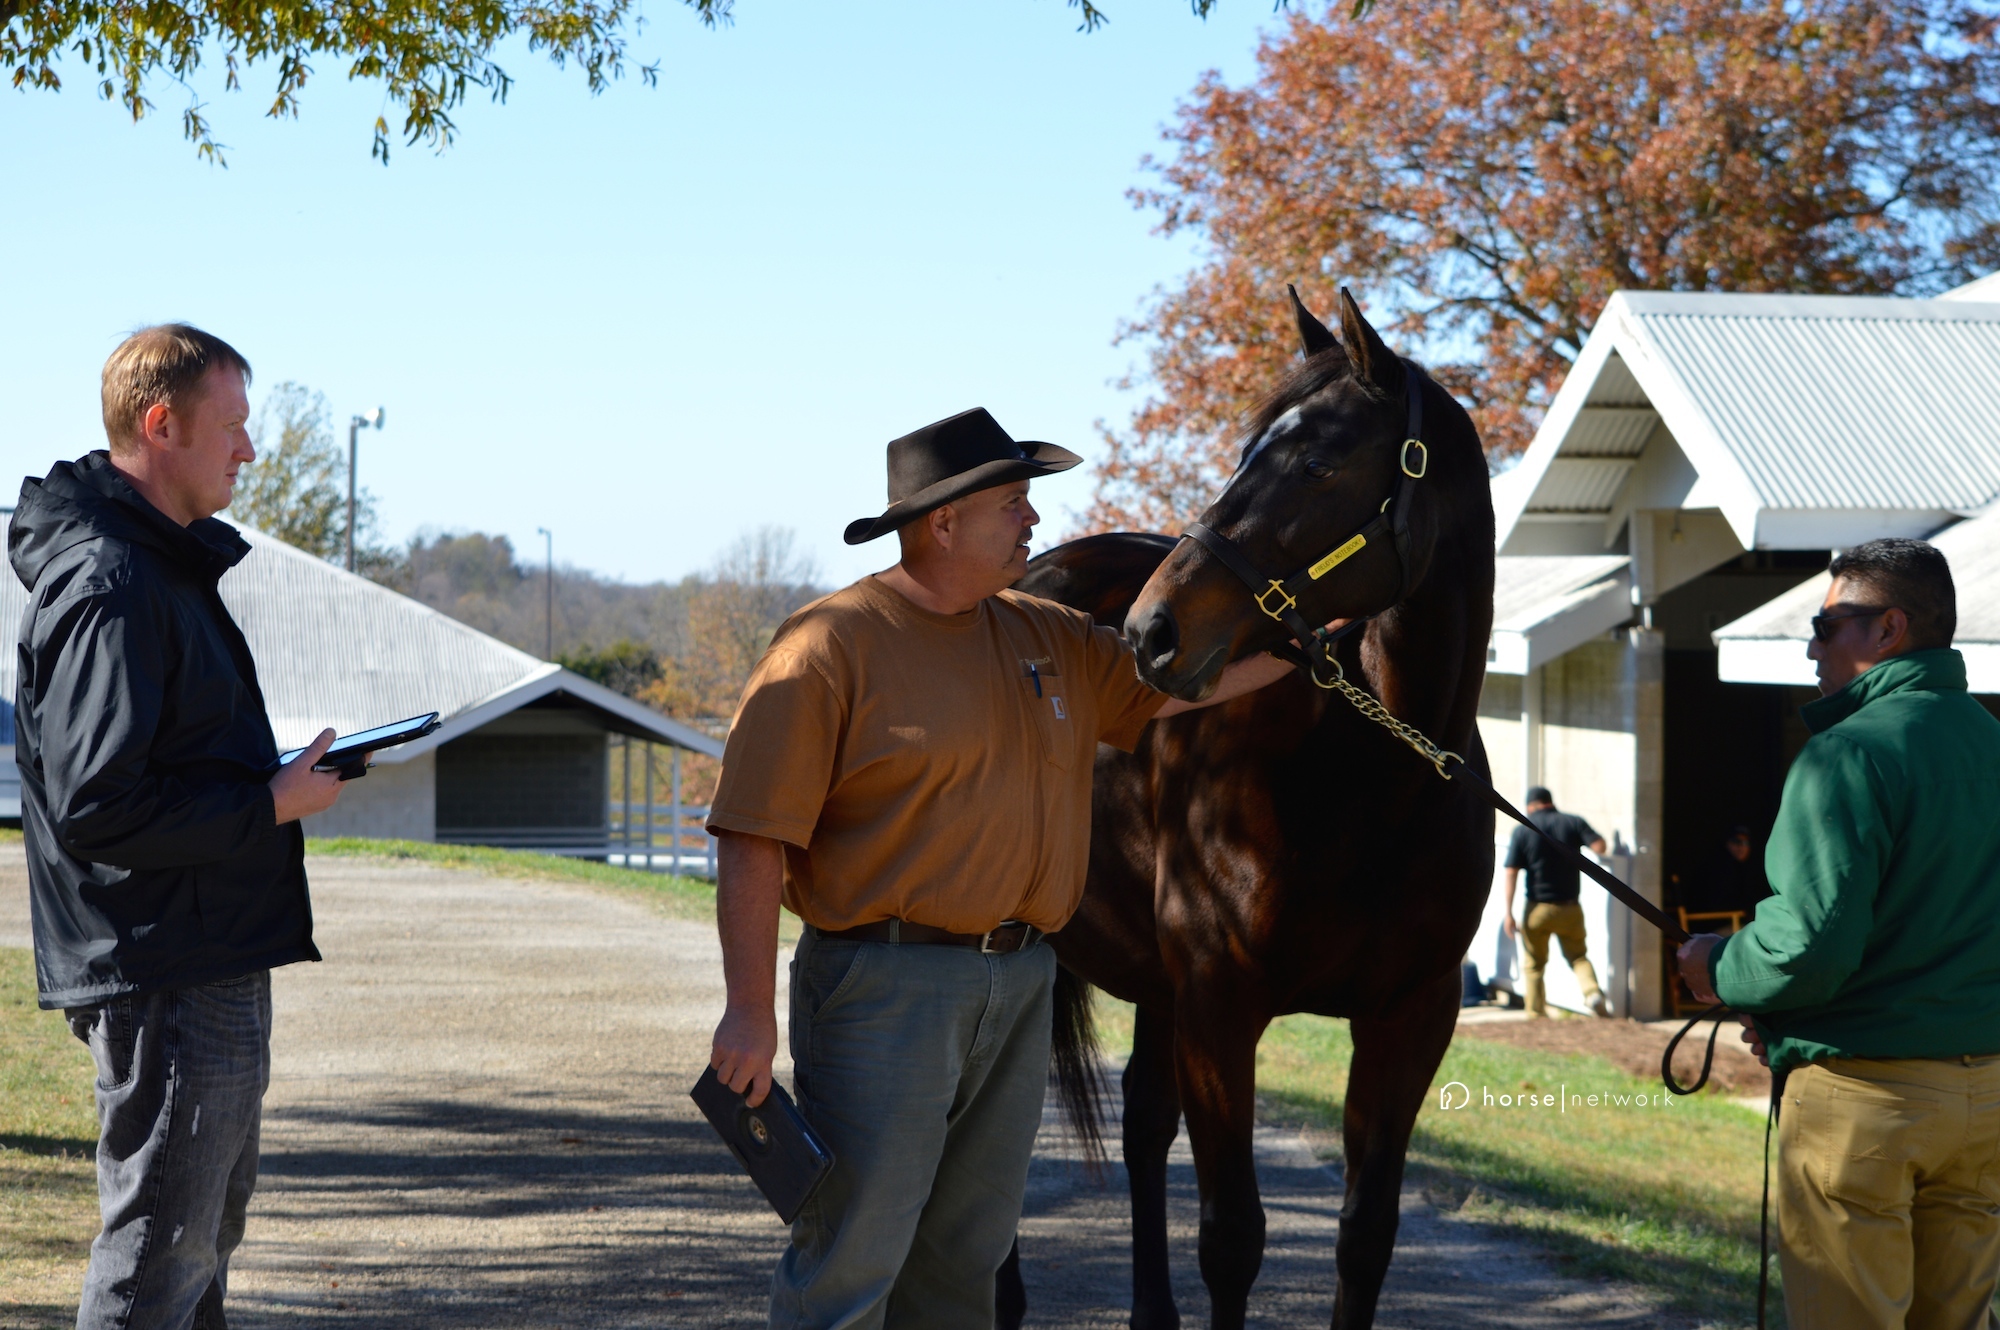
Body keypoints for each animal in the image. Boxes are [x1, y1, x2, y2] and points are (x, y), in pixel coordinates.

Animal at [1008, 294, 1496, 1328]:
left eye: (1317, 464)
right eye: (1242, 454)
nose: (1151, 633)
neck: (1372, 782)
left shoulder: (1409, 1018)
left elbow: (1365, 1236)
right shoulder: (1221, 1006)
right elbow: (1233, 1240)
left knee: (1144, 1122)